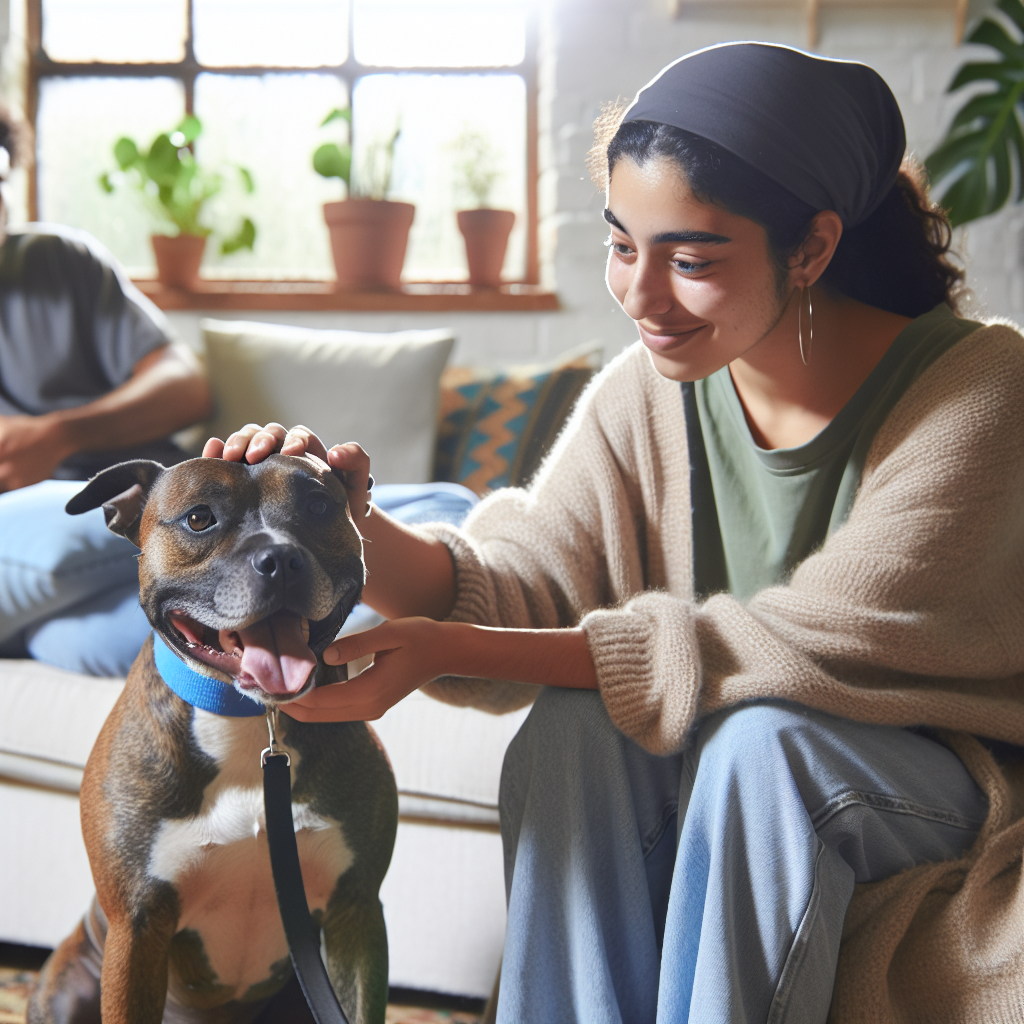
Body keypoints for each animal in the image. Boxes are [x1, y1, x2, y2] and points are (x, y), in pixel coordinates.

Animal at [29, 454, 397, 1024]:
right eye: (199, 519)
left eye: (318, 507)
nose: (282, 558)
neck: (249, 720)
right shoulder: (137, 928)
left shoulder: (354, 912)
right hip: (68, 988)